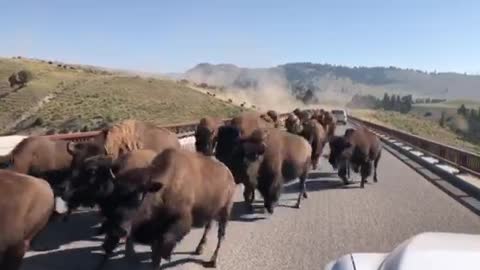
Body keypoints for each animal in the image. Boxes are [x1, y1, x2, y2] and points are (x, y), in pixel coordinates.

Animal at [100, 149, 235, 268]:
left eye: (139, 197)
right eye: (113, 196)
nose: (118, 229)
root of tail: (228, 173)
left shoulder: (181, 221)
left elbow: (164, 243)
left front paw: (166, 255)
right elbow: (155, 254)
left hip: (225, 212)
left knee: (220, 236)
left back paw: (213, 261)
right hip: (212, 212)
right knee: (208, 227)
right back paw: (199, 248)